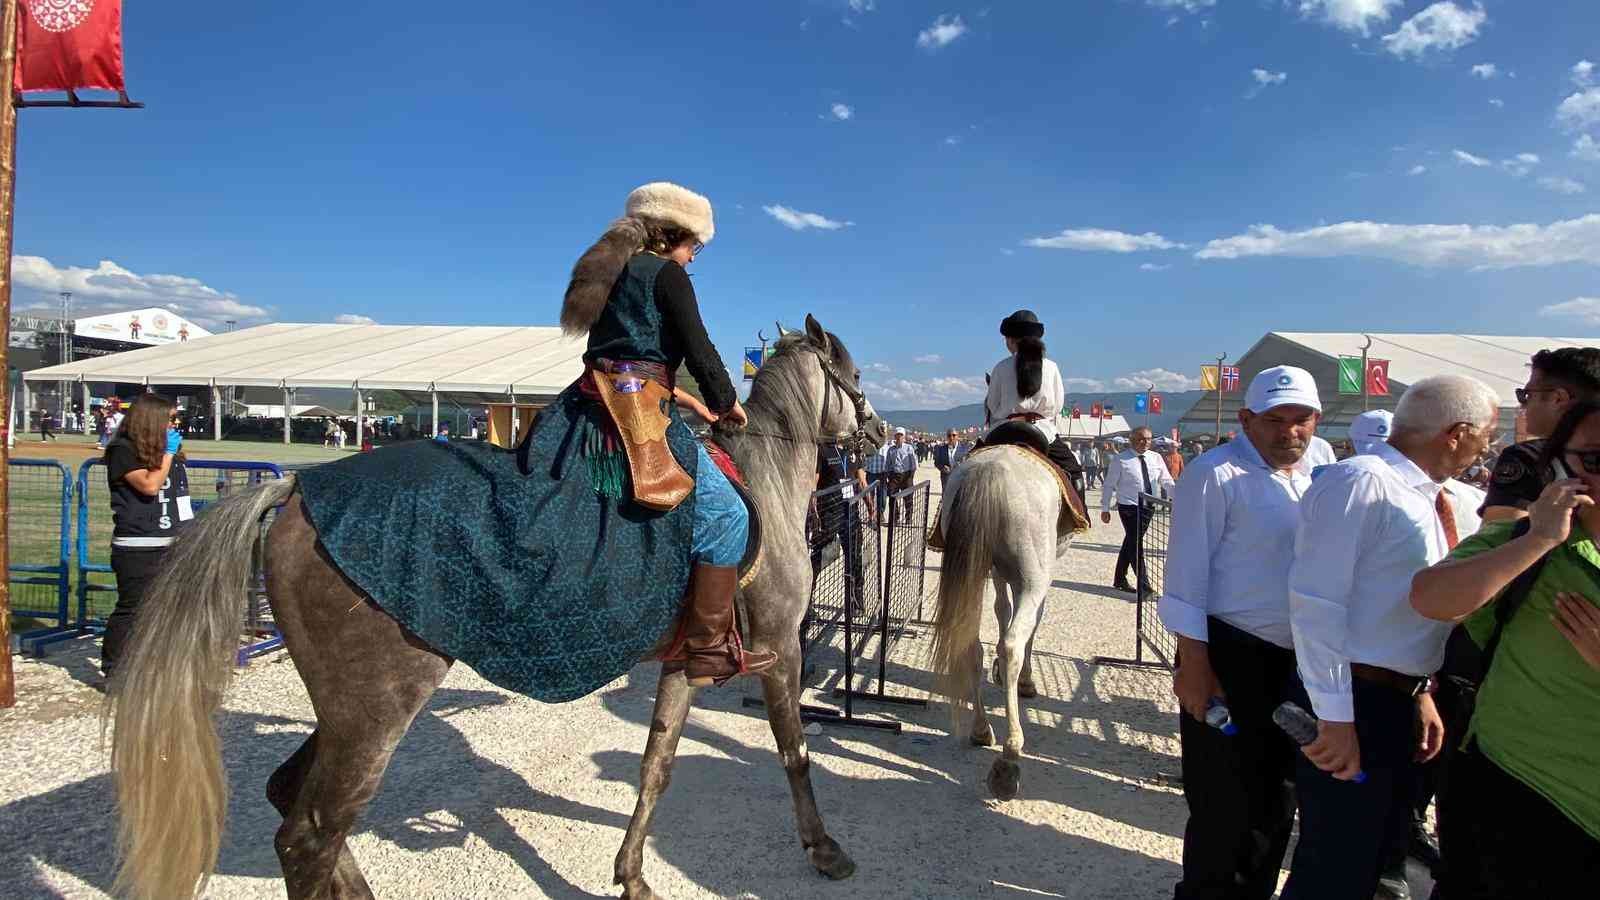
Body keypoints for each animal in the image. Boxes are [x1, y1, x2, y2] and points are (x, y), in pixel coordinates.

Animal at [112, 312, 889, 890]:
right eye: (853, 377)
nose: (880, 432)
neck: (763, 479)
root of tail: (297, 491)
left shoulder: (684, 664)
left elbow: (656, 766)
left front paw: (632, 874)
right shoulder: (779, 651)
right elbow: (794, 752)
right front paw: (824, 849)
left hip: (344, 713)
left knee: (296, 809)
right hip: (374, 712)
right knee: (310, 834)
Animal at [934, 441, 1081, 797]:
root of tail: (989, 470)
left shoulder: (998, 571)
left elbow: (1002, 609)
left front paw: (999, 673)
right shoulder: (1035, 579)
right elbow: (1029, 624)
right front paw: (1025, 681)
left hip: (974, 569)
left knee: (971, 646)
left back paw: (980, 729)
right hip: (1034, 577)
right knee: (1012, 644)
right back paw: (1009, 756)